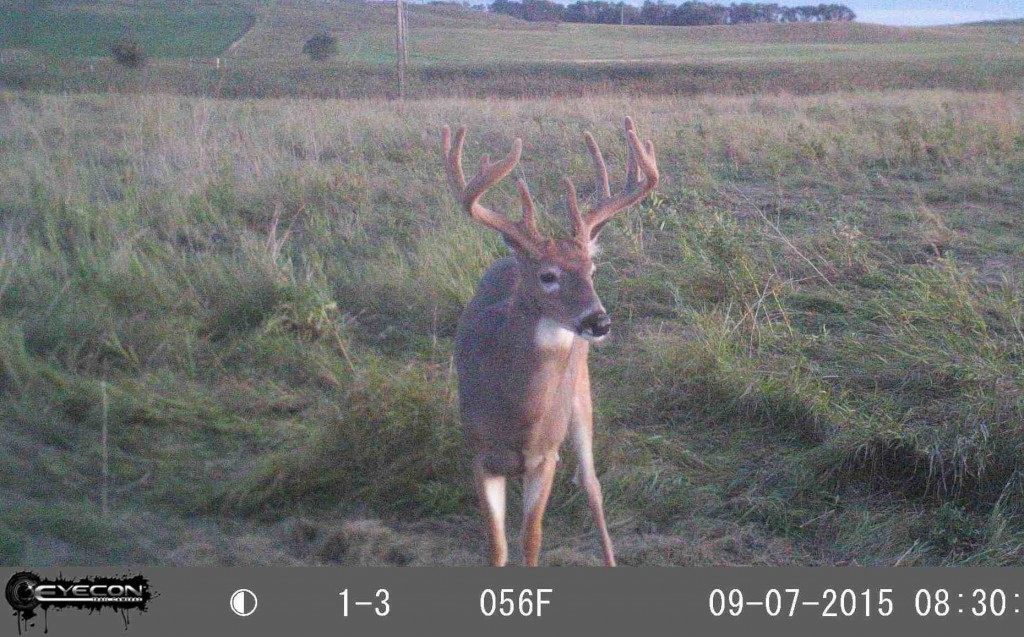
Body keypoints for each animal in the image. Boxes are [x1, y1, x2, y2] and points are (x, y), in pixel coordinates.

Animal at [441, 117, 659, 566]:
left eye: (591, 269)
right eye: (548, 275)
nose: (599, 321)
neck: (516, 414)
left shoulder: (545, 456)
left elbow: (531, 539)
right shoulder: (479, 453)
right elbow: (497, 546)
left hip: (580, 392)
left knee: (591, 484)